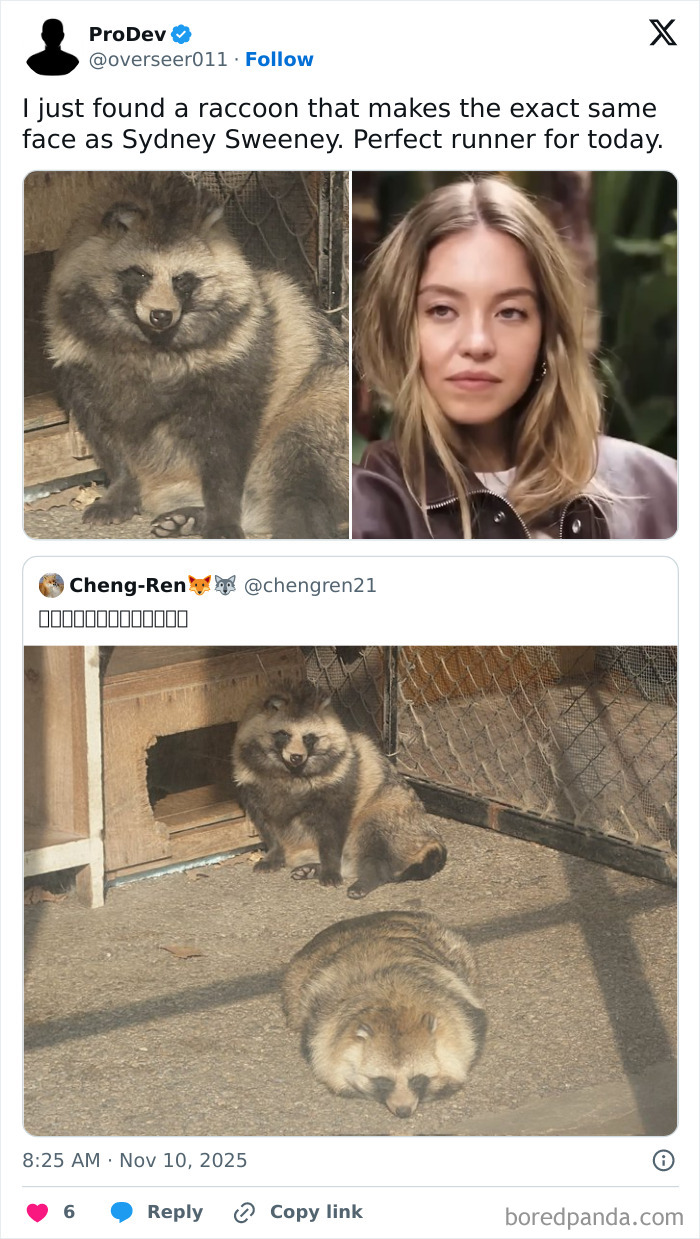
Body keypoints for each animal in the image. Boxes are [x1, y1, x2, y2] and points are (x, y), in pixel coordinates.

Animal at [45, 173, 348, 539]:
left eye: (182, 280)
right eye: (140, 274)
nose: (161, 315)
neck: (149, 342)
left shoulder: (239, 360)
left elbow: (225, 450)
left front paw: (222, 515)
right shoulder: (82, 361)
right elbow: (106, 437)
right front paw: (121, 487)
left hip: (322, 401)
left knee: (302, 452)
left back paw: (296, 522)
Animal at [232, 682, 447, 898]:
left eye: (309, 738)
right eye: (284, 734)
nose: (296, 757)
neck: (289, 772)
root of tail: (431, 836)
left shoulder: (340, 785)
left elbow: (332, 833)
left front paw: (330, 868)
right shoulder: (252, 785)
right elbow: (266, 825)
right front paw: (274, 852)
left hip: (393, 814)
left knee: (374, 837)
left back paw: (368, 876)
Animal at [283, 911, 486, 1117]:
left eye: (417, 1078)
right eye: (383, 1080)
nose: (403, 1110)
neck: (393, 1005)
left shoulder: (459, 1006)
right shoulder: (323, 1018)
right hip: (296, 979)